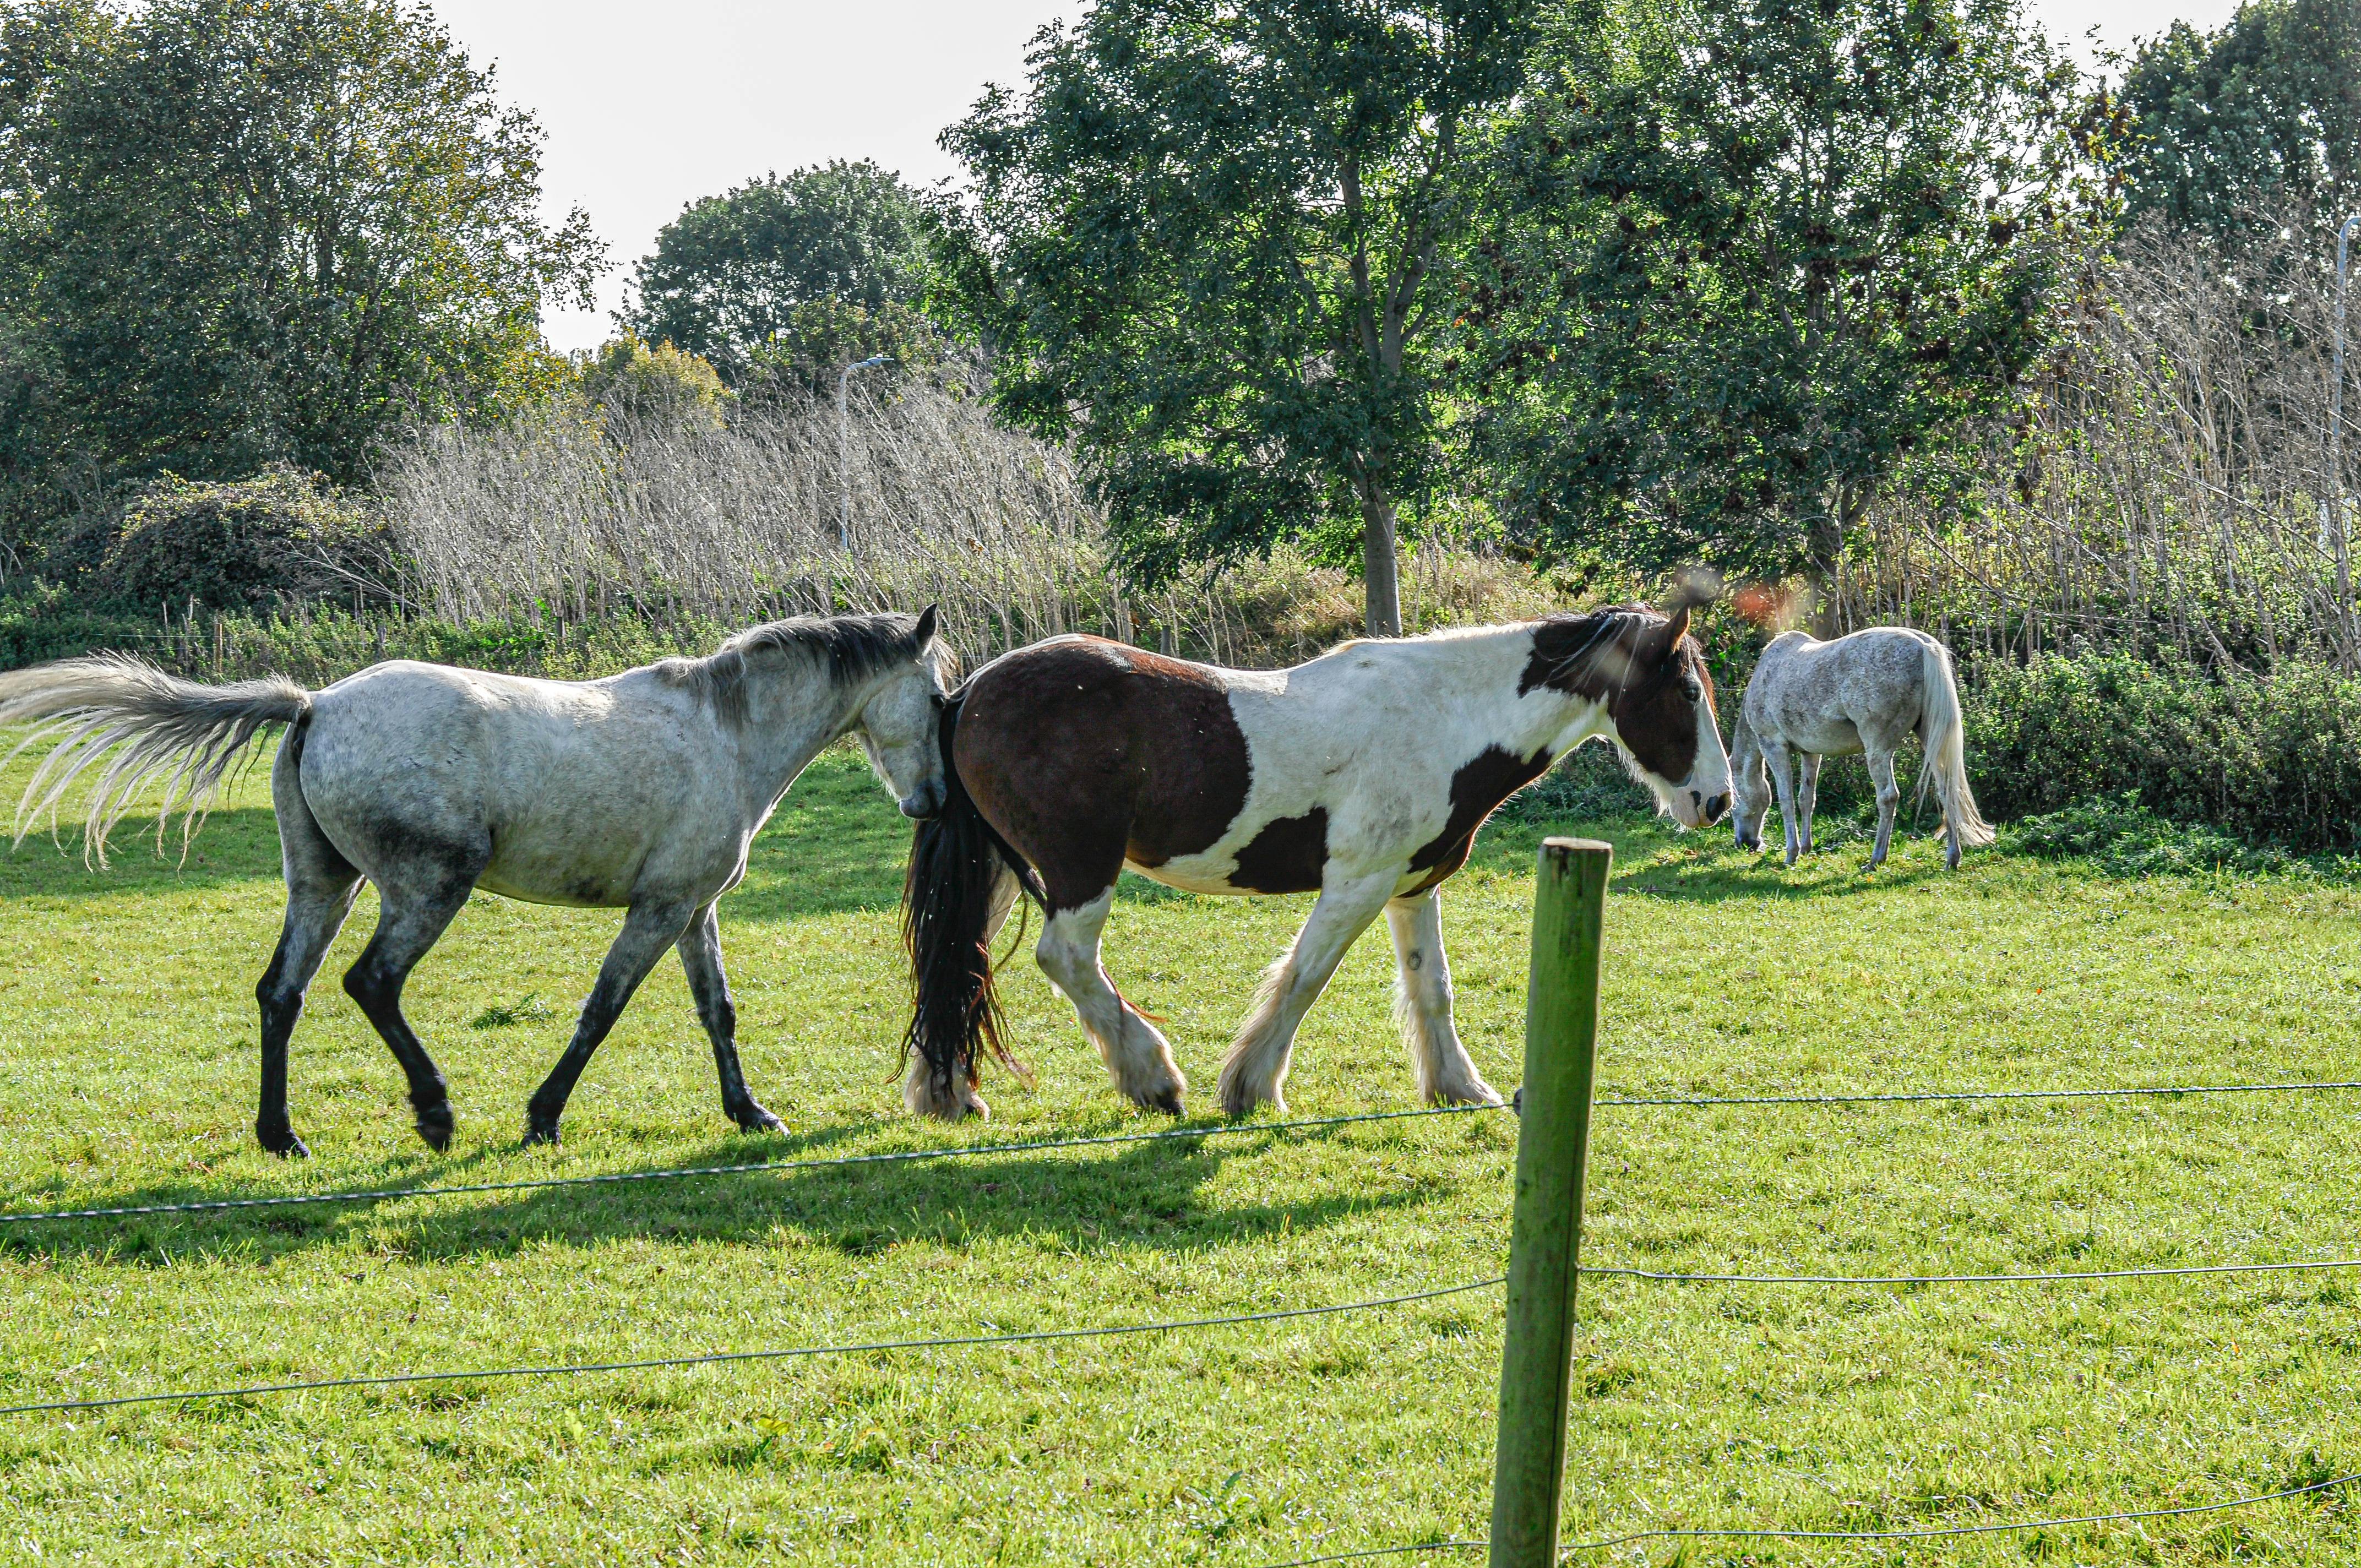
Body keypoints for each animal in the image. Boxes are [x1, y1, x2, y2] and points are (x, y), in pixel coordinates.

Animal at [0, 609, 951, 1155]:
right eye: (941, 699)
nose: (936, 800)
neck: (726, 731)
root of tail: (316, 705)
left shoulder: (690, 911)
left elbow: (717, 1012)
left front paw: (751, 1115)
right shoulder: (659, 911)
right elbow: (602, 1011)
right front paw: (542, 1118)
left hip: (325, 886)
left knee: (283, 993)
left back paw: (283, 1138)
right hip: (428, 889)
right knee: (371, 983)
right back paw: (434, 1115)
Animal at [897, 603, 1732, 1122]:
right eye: (1688, 693)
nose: (1718, 802)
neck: (1443, 715)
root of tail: (970, 693)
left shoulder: (1410, 887)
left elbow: (1432, 988)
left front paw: (1460, 1087)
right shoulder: (1356, 883)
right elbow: (1305, 977)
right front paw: (1252, 1088)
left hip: (998, 874)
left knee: (960, 962)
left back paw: (949, 1095)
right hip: (1079, 872)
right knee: (1064, 959)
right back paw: (1153, 1078)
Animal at [1729, 625, 1992, 871]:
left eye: (1733, 799)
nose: (1746, 843)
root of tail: (1924, 646)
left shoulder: (1773, 746)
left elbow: (1786, 801)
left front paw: (1791, 854)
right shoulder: (1811, 752)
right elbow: (1806, 799)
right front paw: (1805, 848)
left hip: (1878, 749)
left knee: (1888, 797)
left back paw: (1876, 859)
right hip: (1931, 740)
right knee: (1947, 789)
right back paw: (1952, 858)